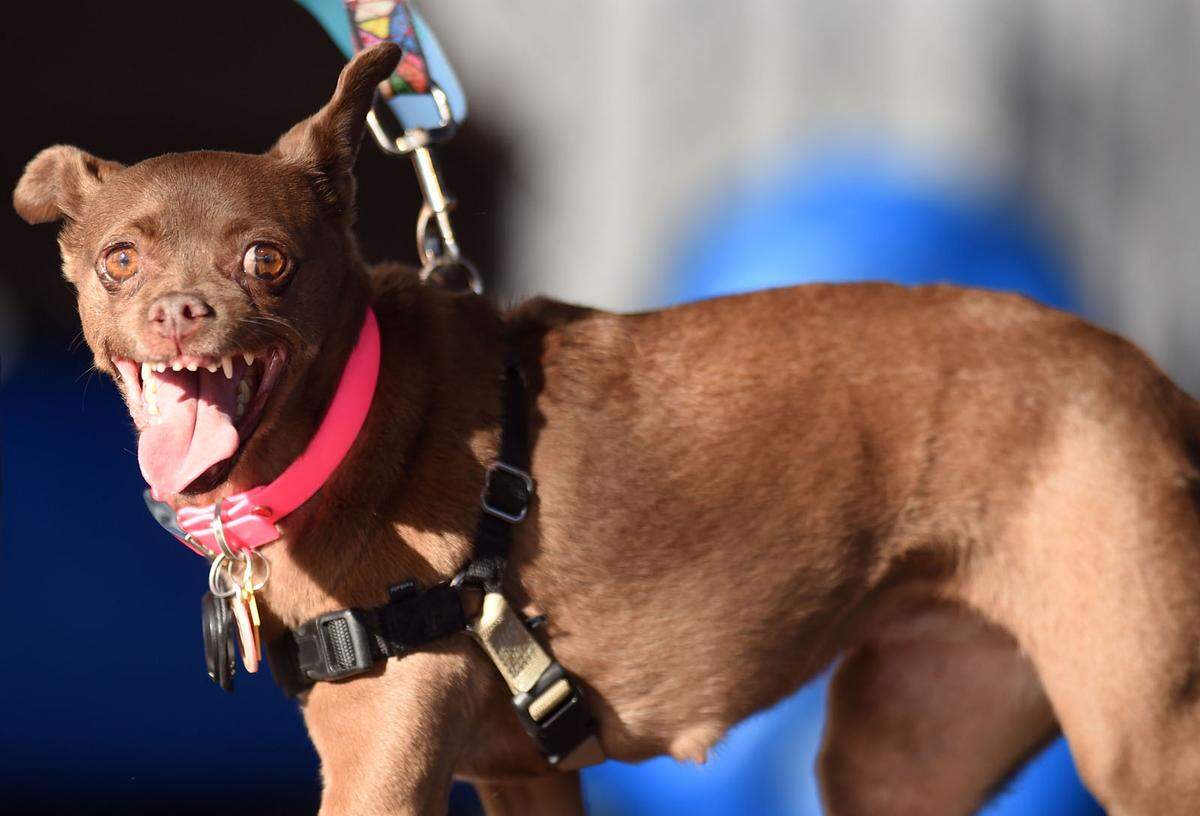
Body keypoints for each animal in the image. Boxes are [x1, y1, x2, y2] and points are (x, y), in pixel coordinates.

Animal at [14, 42, 1200, 816]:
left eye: (266, 260)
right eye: (120, 261)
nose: (182, 312)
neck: (350, 426)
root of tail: (1151, 382)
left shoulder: (377, 770)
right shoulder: (521, 778)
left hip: (1143, 736)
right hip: (909, 742)